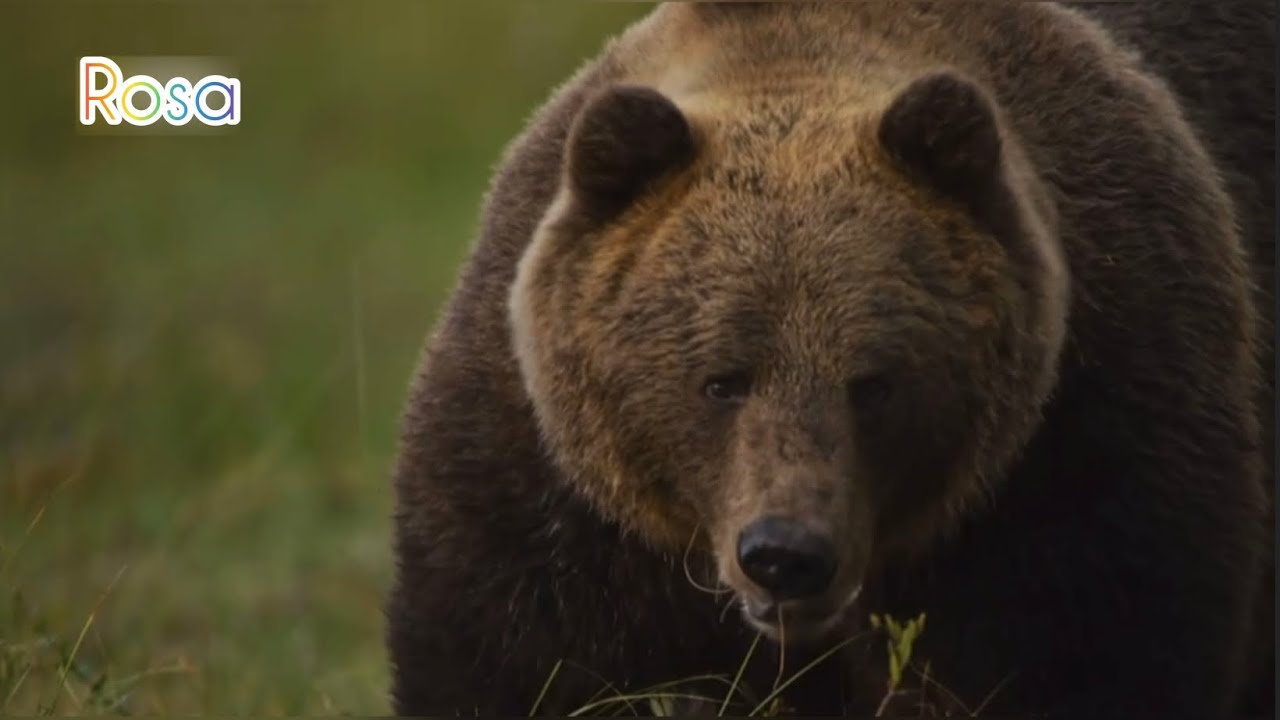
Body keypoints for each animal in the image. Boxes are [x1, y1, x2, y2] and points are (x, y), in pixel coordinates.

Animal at [384, 2, 1274, 712]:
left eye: (874, 384)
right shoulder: (557, 500)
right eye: (720, 379)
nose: (786, 554)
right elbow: (523, 662)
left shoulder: (1086, 444)